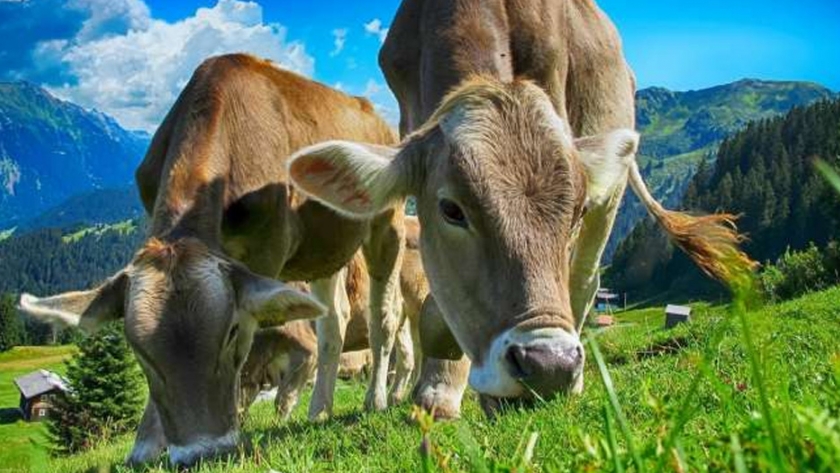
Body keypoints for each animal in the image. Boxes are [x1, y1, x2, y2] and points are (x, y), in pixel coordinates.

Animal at [17, 53, 405, 466]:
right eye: (138, 350)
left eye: (232, 332)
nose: (202, 452)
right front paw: (146, 446)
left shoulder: (266, 251)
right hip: (324, 249)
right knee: (334, 320)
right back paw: (319, 410)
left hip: (387, 223)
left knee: (384, 315)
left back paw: (376, 399)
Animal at [286, 0, 755, 419]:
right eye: (451, 210)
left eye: (575, 212)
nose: (549, 366)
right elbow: (439, 302)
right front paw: (439, 389)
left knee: (584, 279)